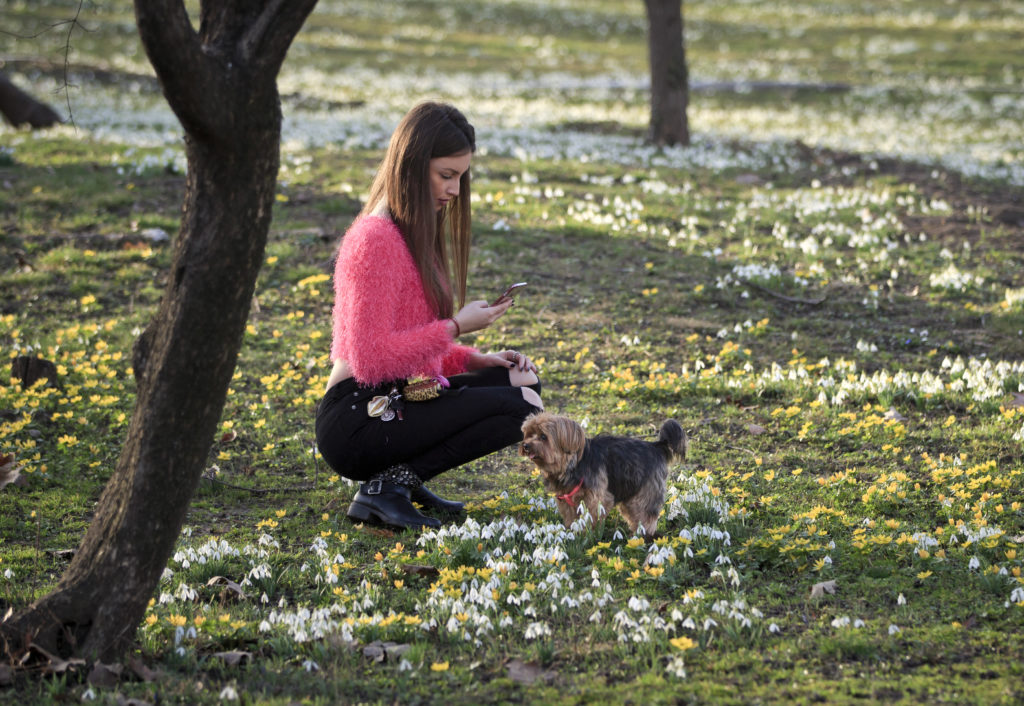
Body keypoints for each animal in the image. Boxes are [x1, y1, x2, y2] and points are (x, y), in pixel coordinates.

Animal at [520, 413, 688, 532]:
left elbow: (591, 517)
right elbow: (571, 519)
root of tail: (656, 446)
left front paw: (588, 533)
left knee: (647, 515)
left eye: (543, 437)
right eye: (528, 433)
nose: (525, 445)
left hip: (646, 491)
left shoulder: (597, 498)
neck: (572, 464)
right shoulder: (566, 501)